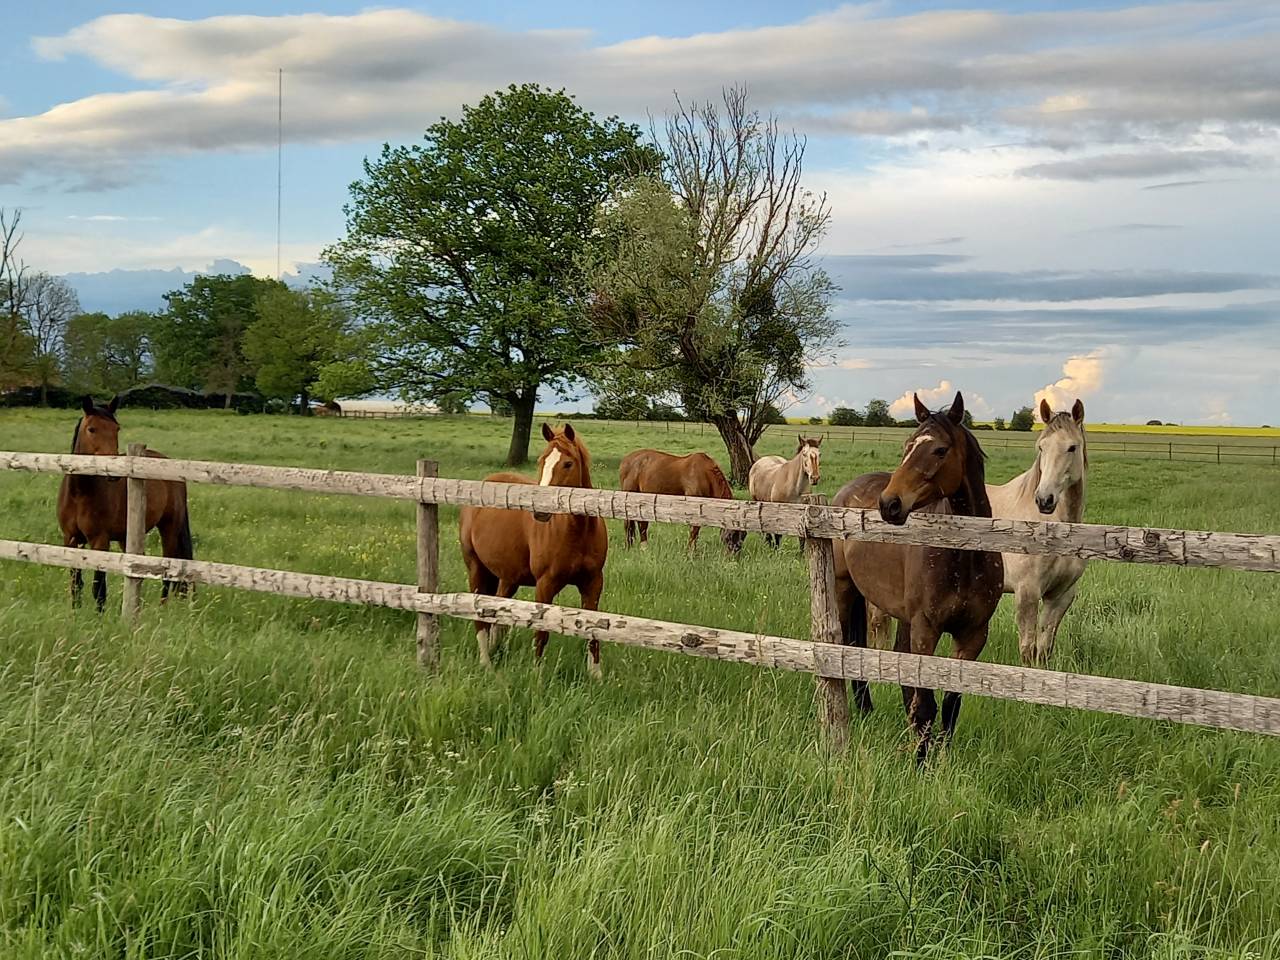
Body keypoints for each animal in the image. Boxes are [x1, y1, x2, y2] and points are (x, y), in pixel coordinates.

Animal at [58, 395, 194, 611]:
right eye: (92, 429)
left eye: (117, 429)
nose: (113, 472)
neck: (79, 494)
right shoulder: (70, 539)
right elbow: (75, 582)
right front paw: (75, 612)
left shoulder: (100, 540)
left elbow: (99, 586)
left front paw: (99, 616)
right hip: (126, 537)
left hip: (169, 527)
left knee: (169, 566)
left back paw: (162, 608)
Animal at [459, 423, 609, 677]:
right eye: (542, 461)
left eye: (567, 463)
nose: (540, 510)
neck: (578, 532)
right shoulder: (545, 584)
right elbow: (541, 631)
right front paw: (537, 674)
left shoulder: (593, 582)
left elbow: (593, 628)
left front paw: (595, 674)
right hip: (476, 569)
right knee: (480, 616)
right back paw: (486, 662)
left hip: (508, 578)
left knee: (497, 610)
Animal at [832, 392, 1003, 764]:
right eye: (907, 446)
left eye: (939, 450)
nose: (889, 504)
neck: (964, 556)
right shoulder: (927, 629)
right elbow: (926, 702)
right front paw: (921, 761)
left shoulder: (973, 634)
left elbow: (951, 701)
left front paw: (942, 757)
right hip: (844, 590)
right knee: (848, 646)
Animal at [987, 398, 1088, 665]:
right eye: (1042, 447)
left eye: (1072, 447)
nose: (1044, 500)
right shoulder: (1027, 592)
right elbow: (1027, 649)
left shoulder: (1060, 596)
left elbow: (1043, 649)